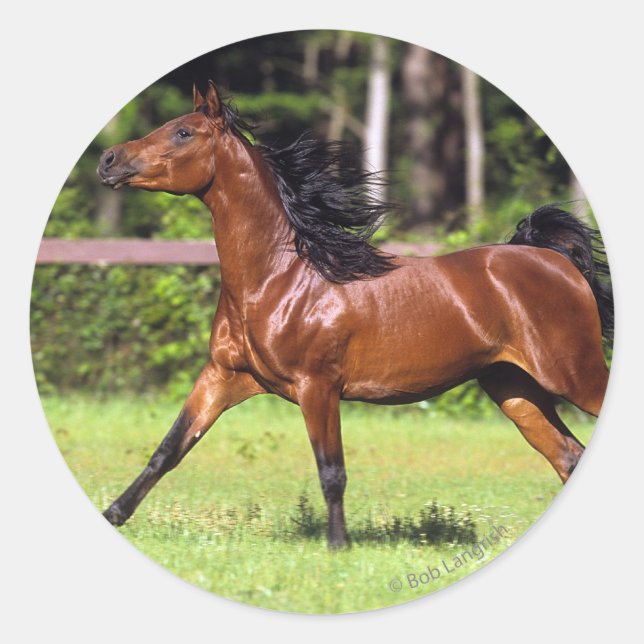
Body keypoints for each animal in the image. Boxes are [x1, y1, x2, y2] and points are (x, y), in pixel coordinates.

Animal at [97, 81, 612, 548]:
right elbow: (168, 450)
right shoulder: (224, 376)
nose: (108, 160)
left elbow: (332, 471)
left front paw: (338, 547)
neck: (280, 279)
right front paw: (113, 515)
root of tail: (554, 259)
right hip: (514, 388)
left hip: (574, 375)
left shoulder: (318, 388)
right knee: (568, 456)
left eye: (183, 132)